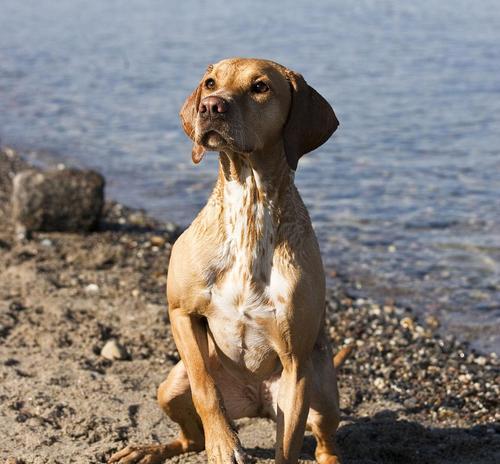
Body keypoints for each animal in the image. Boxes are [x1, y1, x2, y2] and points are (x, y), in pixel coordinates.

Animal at [109, 58, 344, 464]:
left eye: (261, 87)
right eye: (210, 83)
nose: (210, 106)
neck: (249, 205)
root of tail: (256, 401)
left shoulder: (296, 365)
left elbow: (288, 447)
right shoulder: (180, 312)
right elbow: (205, 389)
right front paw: (223, 443)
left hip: (322, 395)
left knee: (325, 444)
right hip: (170, 386)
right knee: (191, 437)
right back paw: (149, 449)